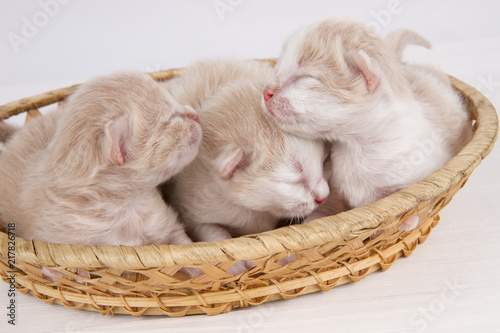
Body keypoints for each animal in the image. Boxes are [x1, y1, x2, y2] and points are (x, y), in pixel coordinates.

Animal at [162, 59, 330, 272]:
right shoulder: (192, 208)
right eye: (294, 180)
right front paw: (234, 265)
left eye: (323, 161)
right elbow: (212, 234)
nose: (324, 197)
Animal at [264, 18, 470, 228]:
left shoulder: (425, 170)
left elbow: (410, 198)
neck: (356, 147)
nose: (266, 91)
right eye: (277, 70)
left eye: (306, 77)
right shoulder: (335, 189)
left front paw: (409, 219)